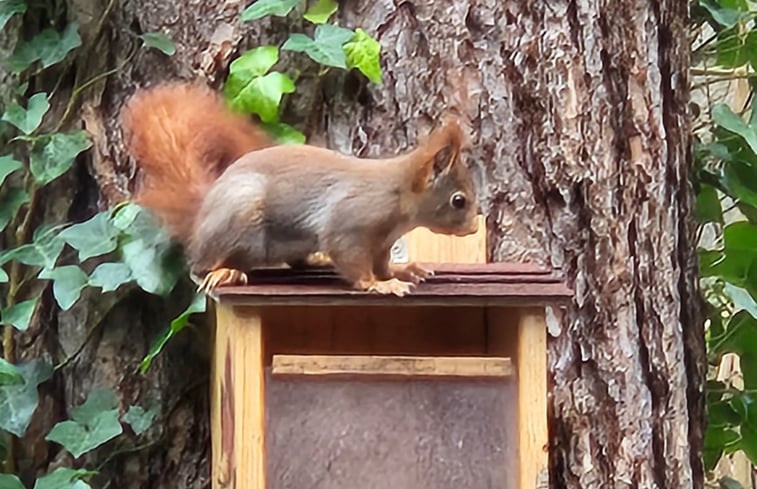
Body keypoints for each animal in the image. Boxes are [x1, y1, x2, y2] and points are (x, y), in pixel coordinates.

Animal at [122, 82, 478, 296]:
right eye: (458, 200)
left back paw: (315, 261)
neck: (398, 195)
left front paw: (401, 271)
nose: (474, 228)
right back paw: (226, 272)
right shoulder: (350, 224)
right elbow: (353, 260)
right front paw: (379, 286)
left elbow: (382, 264)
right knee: (200, 266)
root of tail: (201, 218)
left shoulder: (382, 243)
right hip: (240, 220)